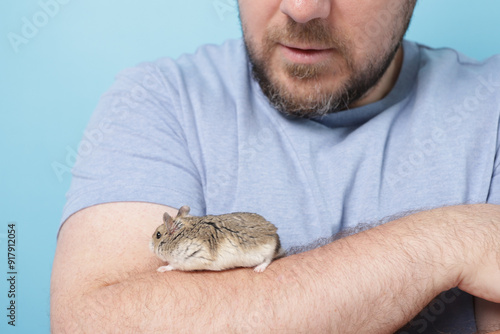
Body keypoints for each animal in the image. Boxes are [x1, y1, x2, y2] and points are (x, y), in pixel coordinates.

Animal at [148, 205, 284, 272]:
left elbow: (173, 265)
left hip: (267, 250)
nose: (149, 246)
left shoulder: (189, 259)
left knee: (267, 260)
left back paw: (258, 269)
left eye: (158, 235)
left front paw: (160, 269)